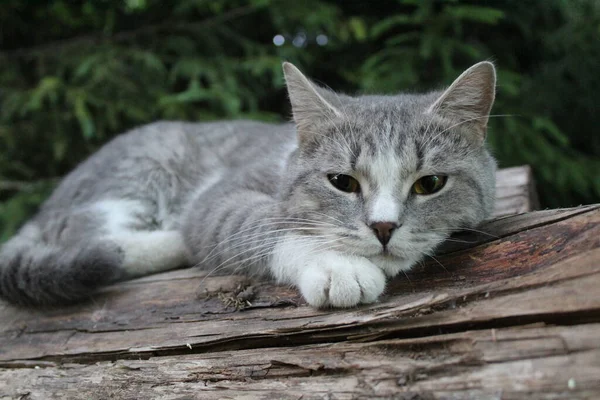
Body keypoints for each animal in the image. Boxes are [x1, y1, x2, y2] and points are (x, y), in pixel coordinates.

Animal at [0, 61, 496, 308]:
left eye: (430, 183)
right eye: (342, 182)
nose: (384, 227)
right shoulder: (216, 197)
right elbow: (261, 223)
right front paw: (336, 265)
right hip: (141, 173)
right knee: (87, 235)